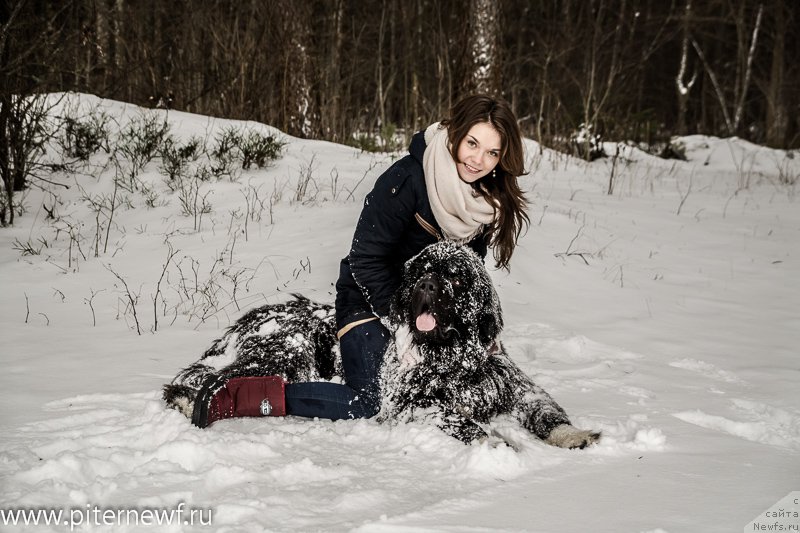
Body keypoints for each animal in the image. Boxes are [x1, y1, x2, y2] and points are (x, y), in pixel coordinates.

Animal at [164, 241, 600, 448]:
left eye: (455, 277)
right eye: (422, 270)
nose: (426, 286)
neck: (449, 357)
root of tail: (247, 320)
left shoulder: (515, 388)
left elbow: (545, 410)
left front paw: (572, 435)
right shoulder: (406, 406)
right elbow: (456, 418)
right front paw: (493, 441)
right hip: (290, 350)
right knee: (206, 379)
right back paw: (194, 401)